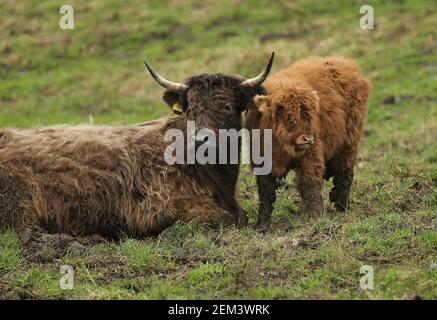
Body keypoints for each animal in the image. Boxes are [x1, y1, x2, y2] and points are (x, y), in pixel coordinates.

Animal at [0, 52, 272, 254]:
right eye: (190, 109)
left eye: (226, 106)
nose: (200, 140)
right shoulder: (164, 204)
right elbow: (226, 218)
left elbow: (241, 216)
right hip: (18, 199)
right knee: (25, 233)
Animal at [244, 56, 370, 229]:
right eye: (289, 116)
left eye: (309, 116)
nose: (307, 139)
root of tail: (345, 63)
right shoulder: (261, 161)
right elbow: (265, 192)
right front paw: (262, 225)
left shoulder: (311, 154)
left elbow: (309, 184)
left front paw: (314, 217)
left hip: (349, 142)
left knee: (345, 173)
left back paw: (341, 206)